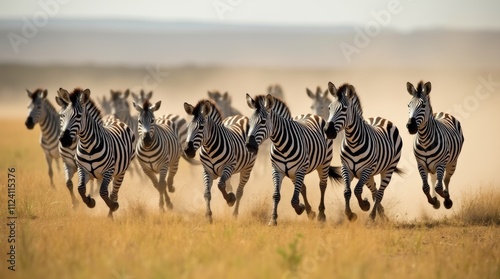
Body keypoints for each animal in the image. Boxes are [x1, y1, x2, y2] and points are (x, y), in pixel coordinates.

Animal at [57, 87, 136, 219]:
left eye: (79, 116)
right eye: (62, 115)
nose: (64, 140)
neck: (88, 147)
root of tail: (116, 119)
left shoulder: (108, 171)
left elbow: (103, 192)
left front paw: (113, 206)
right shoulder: (82, 169)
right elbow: (80, 188)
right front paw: (90, 202)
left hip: (120, 172)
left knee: (113, 193)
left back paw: (110, 214)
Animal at [244, 94, 342, 228]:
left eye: (263, 121)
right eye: (249, 122)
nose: (249, 145)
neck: (281, 146)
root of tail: (312, 114)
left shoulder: (300, 169)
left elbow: (294, 200)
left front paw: (300, 208)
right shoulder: (277, 170)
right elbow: (276, 195)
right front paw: (273, 219)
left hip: (324, 163)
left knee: (322, 186)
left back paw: (321, 215)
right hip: (292, 173)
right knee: (303, 188)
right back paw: (310, 212)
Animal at [324, 82, 402, 222]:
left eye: (344, 109)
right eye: (329, 108)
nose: (328, 131)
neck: (353, 142)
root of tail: (381, 118)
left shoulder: (366, 169)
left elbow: (357, 190)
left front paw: (364, 205)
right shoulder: (346, 168)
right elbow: (347, 191)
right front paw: (350, 214)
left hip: (387, 169)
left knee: (379, 193)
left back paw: (372, 216)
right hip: (369, 174)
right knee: (374, 191)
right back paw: (382, 215)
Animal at [406, 81, 464, 210]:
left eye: (423, 106)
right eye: (408, 105)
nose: (410, 126)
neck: (424, 140)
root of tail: (442, 113)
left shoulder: (440, 163)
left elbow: (439, 187)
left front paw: (447, 199)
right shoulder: (421, 165)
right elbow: (425, 187)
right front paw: (433, 201)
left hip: (452, 162)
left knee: (446, 180)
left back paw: (446, 198)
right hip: (431, 167)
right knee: (433, 180)